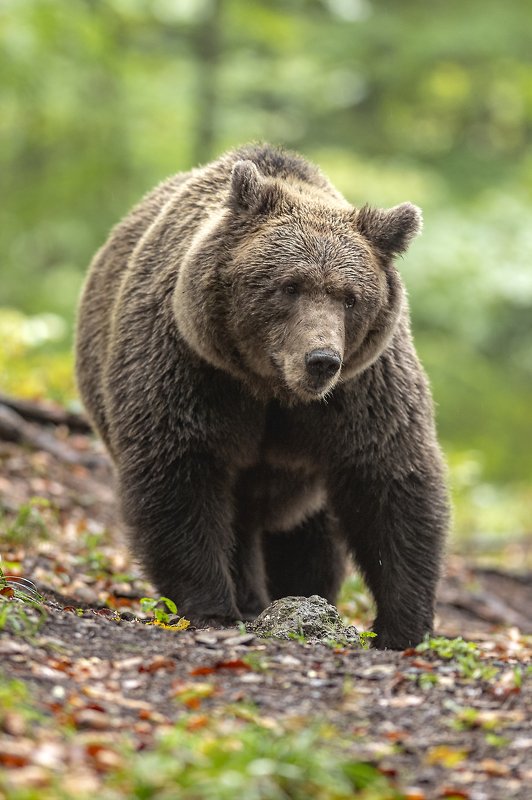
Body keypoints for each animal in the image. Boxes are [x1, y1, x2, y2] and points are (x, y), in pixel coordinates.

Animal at [76, 143, 449, 649]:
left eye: (350, 297)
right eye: (289, 286)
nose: (321, 359)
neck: (272, 387)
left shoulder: (362, 391)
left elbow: (389, 478)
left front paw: (404, 626)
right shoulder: (193, 370)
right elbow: (181, 473)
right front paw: (211, 606)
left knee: (309, 536)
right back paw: (253, 598)